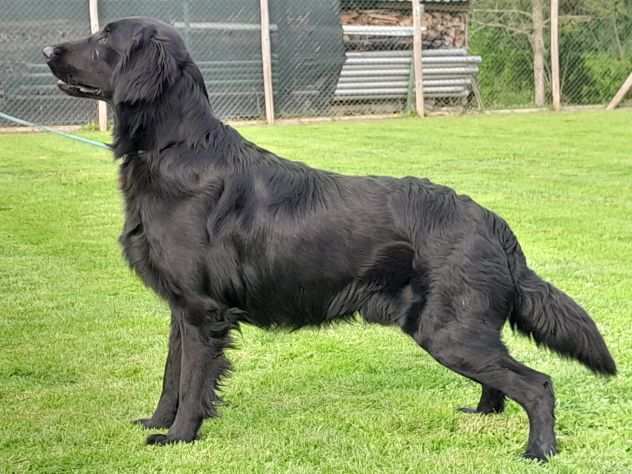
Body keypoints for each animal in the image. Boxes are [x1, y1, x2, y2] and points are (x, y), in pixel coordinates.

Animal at [45, 17, 616, 460]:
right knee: (502, 379)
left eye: (104, 38)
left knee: (538, 384)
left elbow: (190, 385)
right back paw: (481, 414)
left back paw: (538, 450)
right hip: (456, 329)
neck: (174, 151)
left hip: (449, 332)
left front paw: (179, 439)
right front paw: (157, 423)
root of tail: (491, 220)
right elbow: (171, 378)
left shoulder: (202, 311)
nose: (48, 50)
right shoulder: (180, 309)